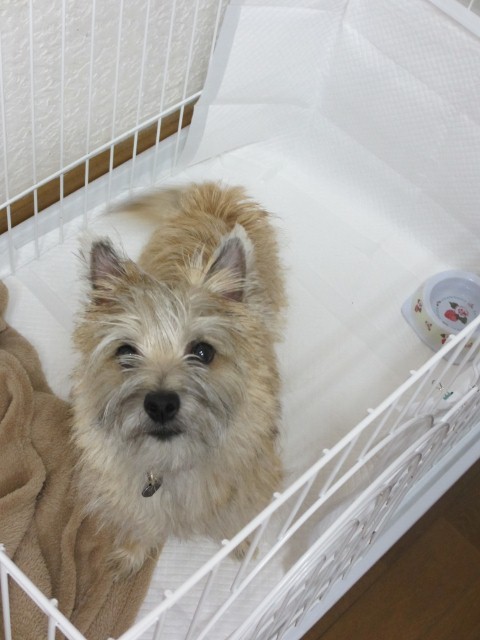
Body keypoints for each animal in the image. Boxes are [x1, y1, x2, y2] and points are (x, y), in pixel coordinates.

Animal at [71, 182, 286, 577]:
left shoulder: (253, 479)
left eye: (203, 351)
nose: (160, 404)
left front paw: (240, 543)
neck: (170, 460)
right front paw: (131, 554)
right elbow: (141, 522)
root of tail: (214, 198)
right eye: (126, 352)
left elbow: (239, 517)